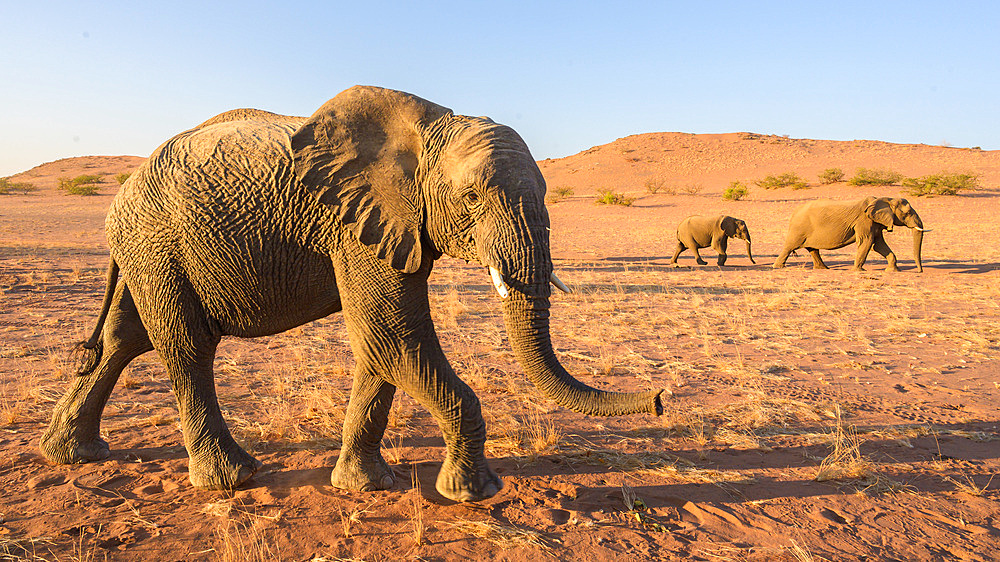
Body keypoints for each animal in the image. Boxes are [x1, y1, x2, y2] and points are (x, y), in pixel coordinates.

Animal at [41, 86, 664, 498]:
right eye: (471, 199)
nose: (659, 398)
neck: (429, 128)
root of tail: (122, 194)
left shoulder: (395, 226)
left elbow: (380, 348)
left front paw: (365, 486)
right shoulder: (354, 221)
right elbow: (394, 337)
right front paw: (472, 493)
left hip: (145, 251)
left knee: (126, 340)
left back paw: (73, 454)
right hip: (158, 243)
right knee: (186, 346)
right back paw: (232, 479)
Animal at [772, 196, 928, 270]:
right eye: (907, 213)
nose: (920, 271)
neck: (885, 199)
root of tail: (795, 211)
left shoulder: (875, 223)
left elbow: (878, 245)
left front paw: (893, 270)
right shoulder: (864, 221)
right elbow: (867, 242)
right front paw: (858, 271)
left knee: (813, 249)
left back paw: (823, 268)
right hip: (799, 229)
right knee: (789, 247)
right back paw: (778, 267)